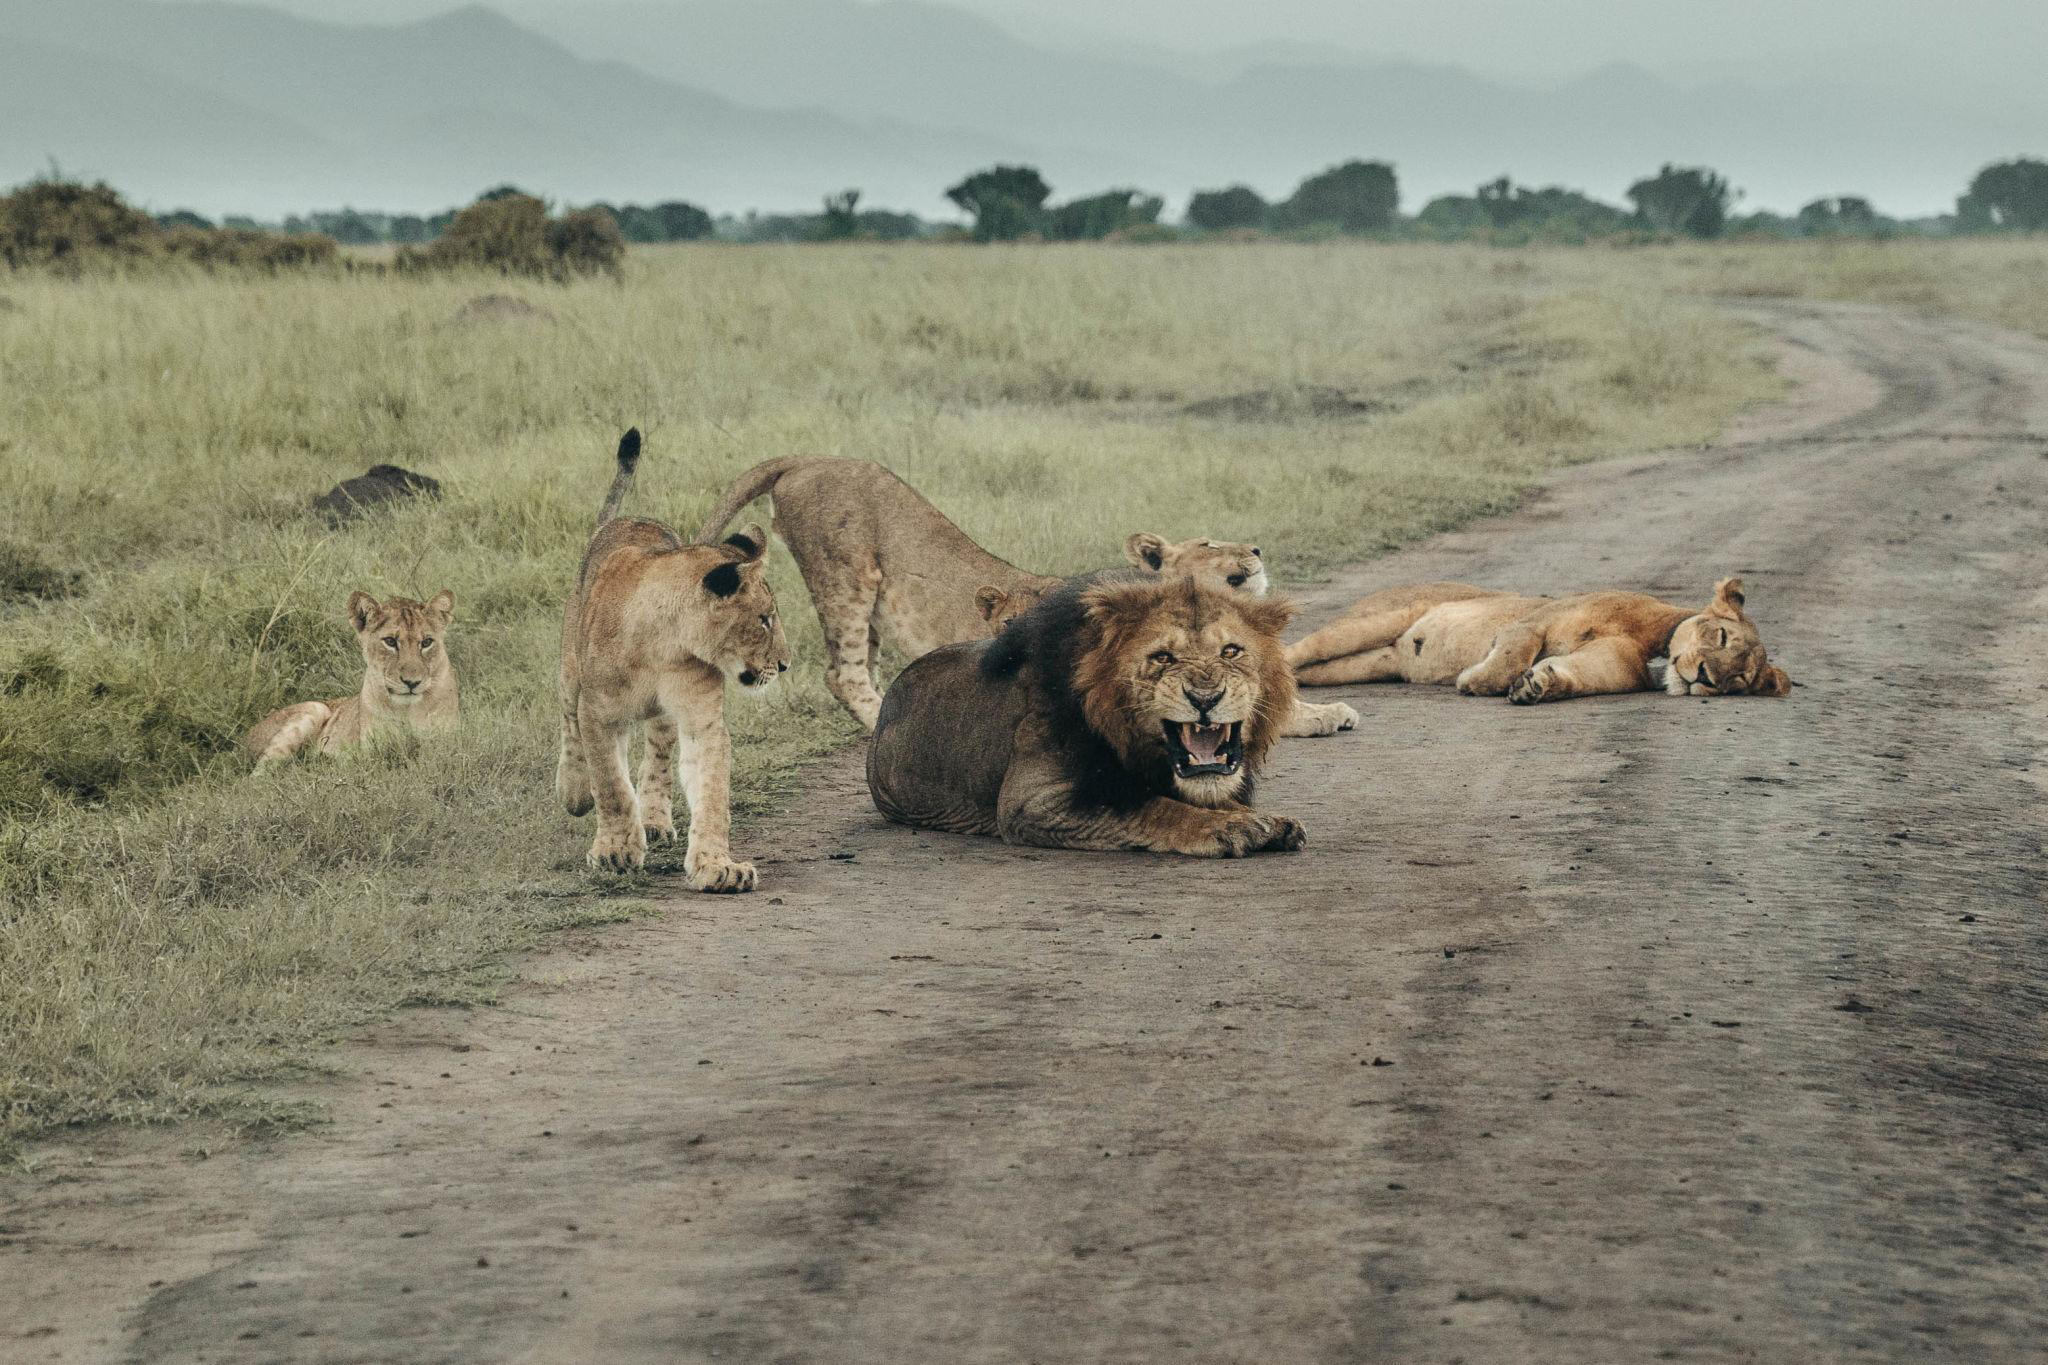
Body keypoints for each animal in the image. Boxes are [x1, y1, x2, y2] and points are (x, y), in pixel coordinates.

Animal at [244, 588, 458, 770]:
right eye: (390, 641)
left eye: (427, 642)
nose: (412, 683)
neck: (408, 709)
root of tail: (248, 734)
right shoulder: (373, 752)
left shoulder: (446, 743)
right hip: (315, 709)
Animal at [557, 430, 791, 889]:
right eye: (765, 619)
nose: (787, 663)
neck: (666, 644)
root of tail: (621, 521)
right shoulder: (598, 712)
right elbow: (610, 785)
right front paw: (614, 852)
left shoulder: (702, 719)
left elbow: (712, 793)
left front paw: (718, 866)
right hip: (570, 668)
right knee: (569, 722)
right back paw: (574, 791)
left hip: (662, 719)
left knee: (658, 758)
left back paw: (653, 821)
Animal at [868, 572, 1306, 857]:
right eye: (1163, 657)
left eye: (1231, 652)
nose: (1205, 697)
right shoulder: (1032, 803)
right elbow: (1148, 805)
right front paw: (1230, 827)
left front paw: (1263, 818)